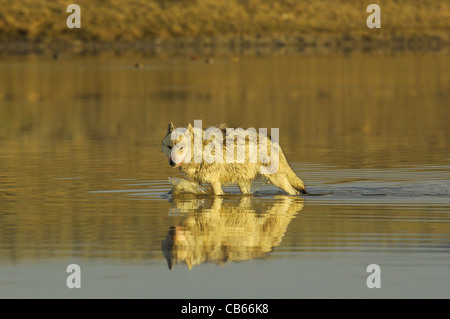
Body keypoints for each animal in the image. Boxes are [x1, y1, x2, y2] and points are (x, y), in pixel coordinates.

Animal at [160, 122, 308, 196]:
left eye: (181, 147)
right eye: (169, 147)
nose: (172, 162)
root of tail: (273, 141)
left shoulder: (215, 182)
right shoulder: (193, 180)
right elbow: (176, 189)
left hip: (276, 180)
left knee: (294, 192)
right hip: (242, 184)